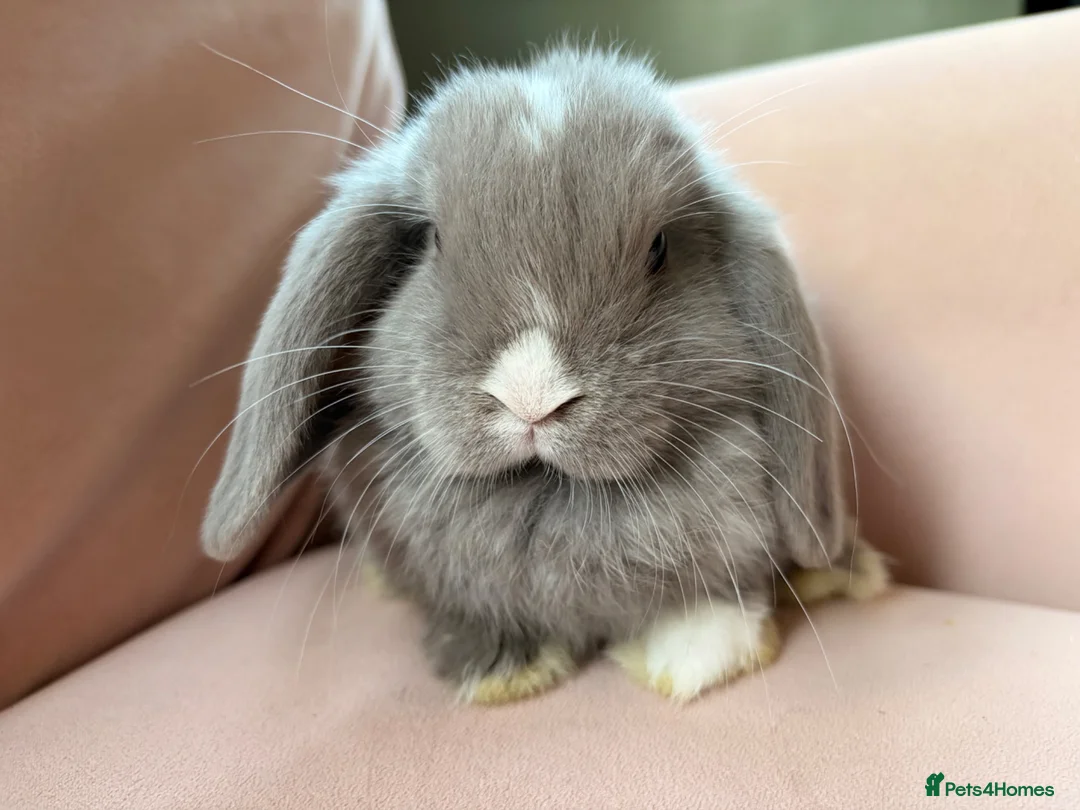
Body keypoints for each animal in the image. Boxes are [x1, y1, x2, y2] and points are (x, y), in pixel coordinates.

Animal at [200, 45, 890, 705]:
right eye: (431, 240)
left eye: (659, 248)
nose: (531, 398)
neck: (547, 495)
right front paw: (502, 671)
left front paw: (697, 655)